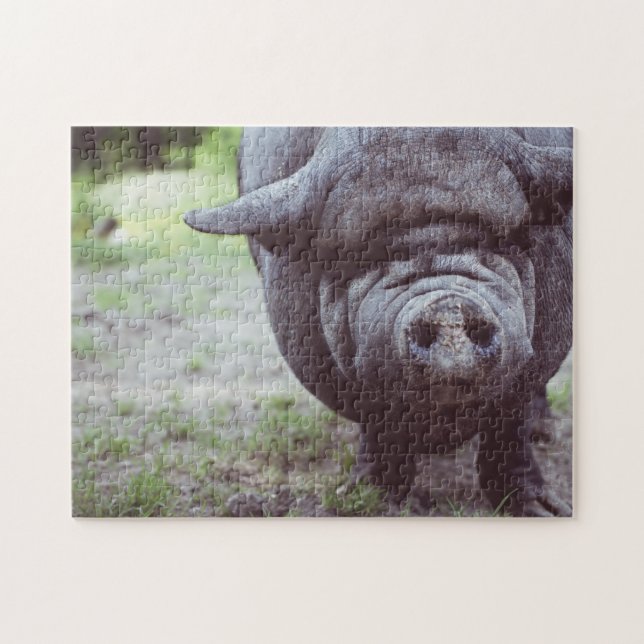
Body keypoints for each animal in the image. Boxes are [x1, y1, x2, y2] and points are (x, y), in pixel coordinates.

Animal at [183, 127, 573, 517]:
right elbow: (379, 426)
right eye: (361, 255)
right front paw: (367, 500)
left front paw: (546, 511)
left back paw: (544, 433)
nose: (447, 308)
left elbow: (509, 425)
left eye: (502, 240)